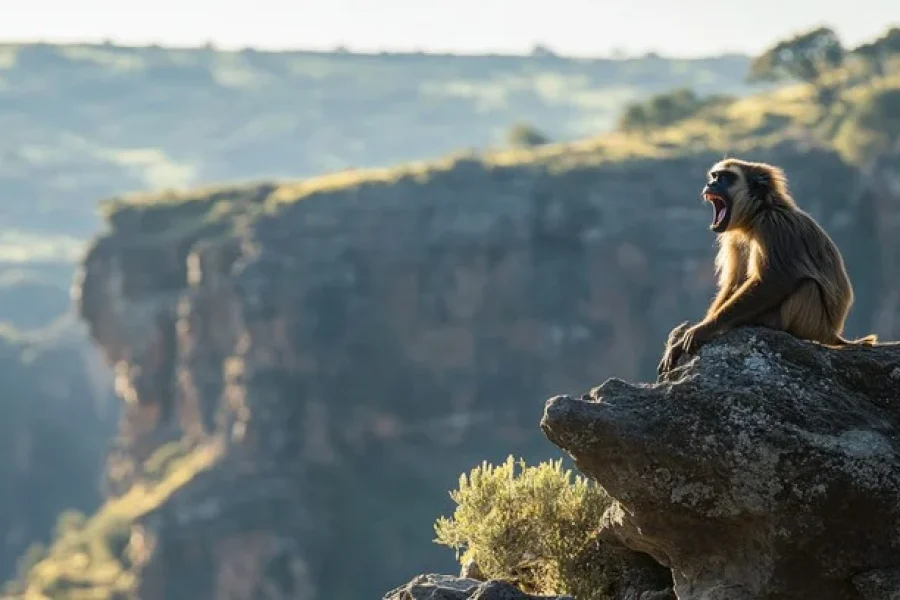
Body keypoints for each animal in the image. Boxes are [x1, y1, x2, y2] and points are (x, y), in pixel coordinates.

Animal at [657, 158, 877, 376]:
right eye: (715, 176)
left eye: (725, 178)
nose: (711, 184)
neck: (759, 212)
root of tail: (831, 333)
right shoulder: (736, 239)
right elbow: (735, 284)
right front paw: (682, 340)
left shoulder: (774, 226)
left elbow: (774, 281)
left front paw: (703, 330)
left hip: (813, 323)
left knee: (807, 286)